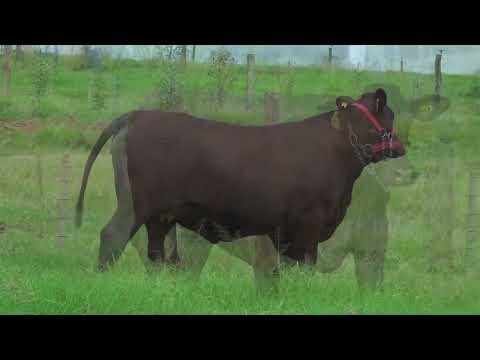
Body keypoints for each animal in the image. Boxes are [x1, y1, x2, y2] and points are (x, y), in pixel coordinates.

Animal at [77, 88, 406, 288]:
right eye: (390, 115)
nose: (400, 148)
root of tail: (137, 115)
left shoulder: (286, 232)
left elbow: (286, 269)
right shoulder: (308, 225)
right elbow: (302, 267)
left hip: (162, 216)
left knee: (158, 252)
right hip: (136, 204)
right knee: (113, 236)